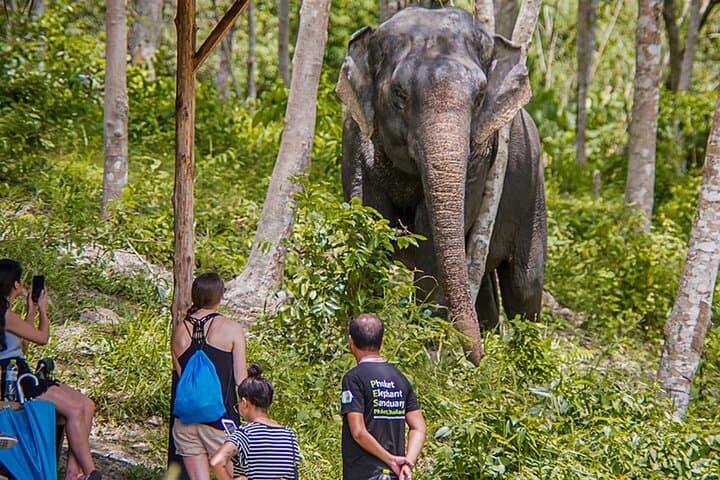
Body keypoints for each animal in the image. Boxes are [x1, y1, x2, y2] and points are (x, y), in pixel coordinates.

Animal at [335, 6, 547, 361]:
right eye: (398, 92)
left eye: (480, 96)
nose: (475, 359)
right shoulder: (354, 134)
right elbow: (368, 221)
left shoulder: (480, 154)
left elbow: (431, 236)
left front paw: (427, 350)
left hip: (533, 191)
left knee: (524, 282)